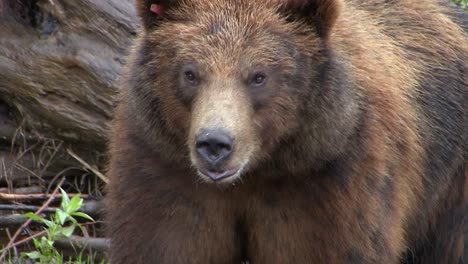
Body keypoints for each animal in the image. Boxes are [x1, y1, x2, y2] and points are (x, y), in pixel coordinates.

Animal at [107, 0, 468, 262]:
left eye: (258, 76)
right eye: (190, 73)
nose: (215, 144)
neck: (262, 169)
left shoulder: (330, 183)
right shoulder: (164, 169)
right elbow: (165, 243)